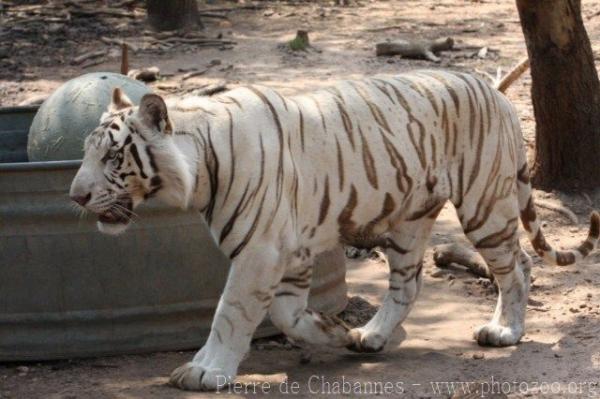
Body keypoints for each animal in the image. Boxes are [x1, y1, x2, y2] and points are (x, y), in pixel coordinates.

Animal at [69, 70, 596, 392]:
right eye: (86, 153)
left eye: (112, 157)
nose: (75, 196)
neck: (202, 162)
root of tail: (496, 91)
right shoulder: (288, 254)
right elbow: (285, 314)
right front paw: (332, 332)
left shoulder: (260, 251)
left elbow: (231, 313)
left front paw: (205, 370)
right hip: (407, 223)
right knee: (408, 284)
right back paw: (372, 335)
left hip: (484, 206)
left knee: (518, 266)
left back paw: (505, 330)